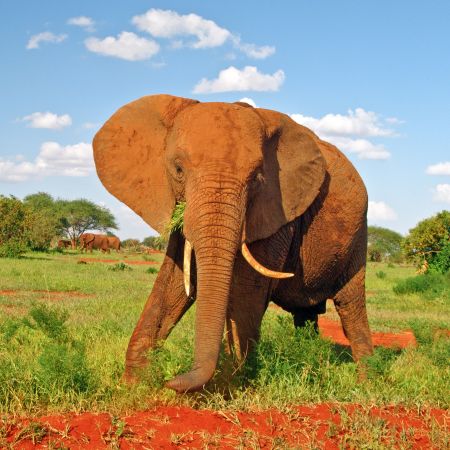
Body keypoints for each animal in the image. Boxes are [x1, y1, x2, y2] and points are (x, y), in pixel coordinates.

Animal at [92, 93, 372, 392]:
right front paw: (132, 385)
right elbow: (175, 279)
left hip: (358, 234)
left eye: (257, 178)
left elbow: (246, 290)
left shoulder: (278, 211)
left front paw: (228, 387)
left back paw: (365, 381)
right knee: (306, 315)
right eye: (178, 169)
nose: (170, 382)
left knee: (350, 307)